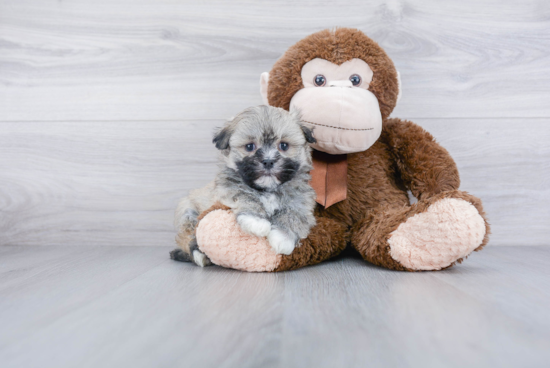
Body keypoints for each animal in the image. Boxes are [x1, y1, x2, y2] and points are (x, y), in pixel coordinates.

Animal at [171, 105, 320, 266]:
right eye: (249, 147)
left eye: (284, 145)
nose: (268, 161)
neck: (267, 190)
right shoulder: (228, 188)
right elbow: (246, 196)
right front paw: (256, 221)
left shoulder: (302, 200)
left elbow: (294, 214)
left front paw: (283, 237)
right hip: (188, 213)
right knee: (187, 237)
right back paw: (199, 255)